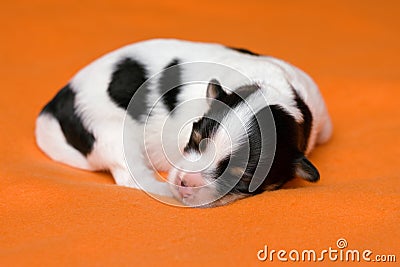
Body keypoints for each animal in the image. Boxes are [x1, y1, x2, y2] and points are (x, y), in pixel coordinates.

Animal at [36, 38, 332, 208]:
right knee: (132, 175)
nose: (184, 183)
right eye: (197, 140)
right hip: (111, 129)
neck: (269, 88)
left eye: (243, 177)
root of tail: (57, 104)